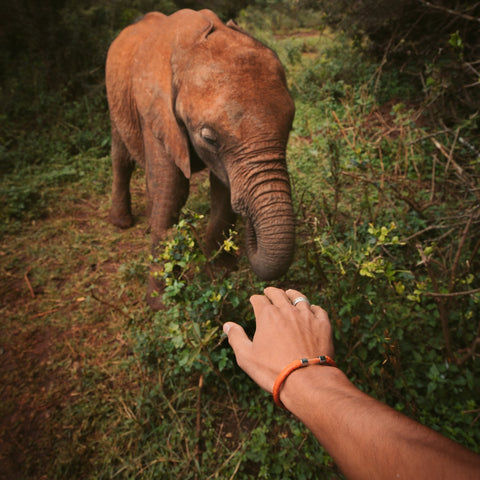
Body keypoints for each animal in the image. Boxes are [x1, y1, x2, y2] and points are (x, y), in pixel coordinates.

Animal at [105, 9, 296, 310]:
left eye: (291, 124)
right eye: (208, 137)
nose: (250, 231)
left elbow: (223, 190)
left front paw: (219, 273)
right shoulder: (157, 112)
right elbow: (172, 191)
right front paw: (163, 305)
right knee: (122, 158)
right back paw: (123, 223)